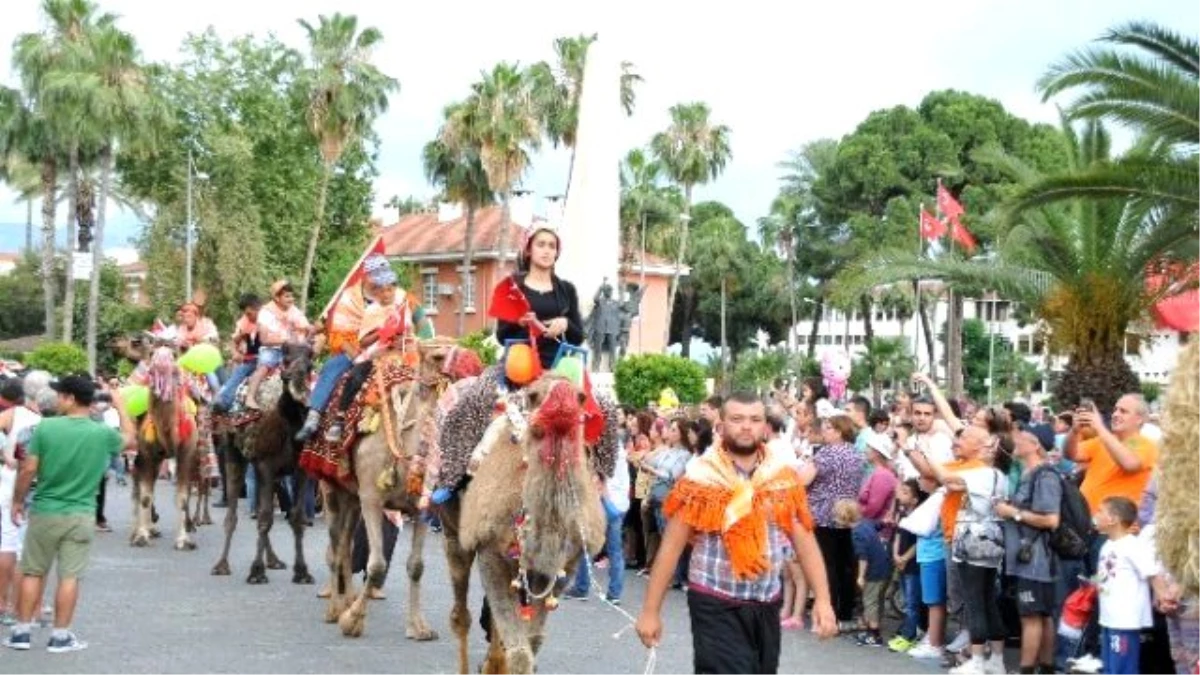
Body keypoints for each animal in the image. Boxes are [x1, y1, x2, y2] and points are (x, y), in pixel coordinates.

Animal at [212, 341, 316, 583]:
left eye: (310, 364)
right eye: (285, 359)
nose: (296, 379)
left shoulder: (299, 470)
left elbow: (296, 517)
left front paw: (302, 571)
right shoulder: (266, 465)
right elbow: (265, 518)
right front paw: (256, 572)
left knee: (260, 508)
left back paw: (274, 560)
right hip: (233, 454)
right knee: (233, 512)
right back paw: (222, 565)